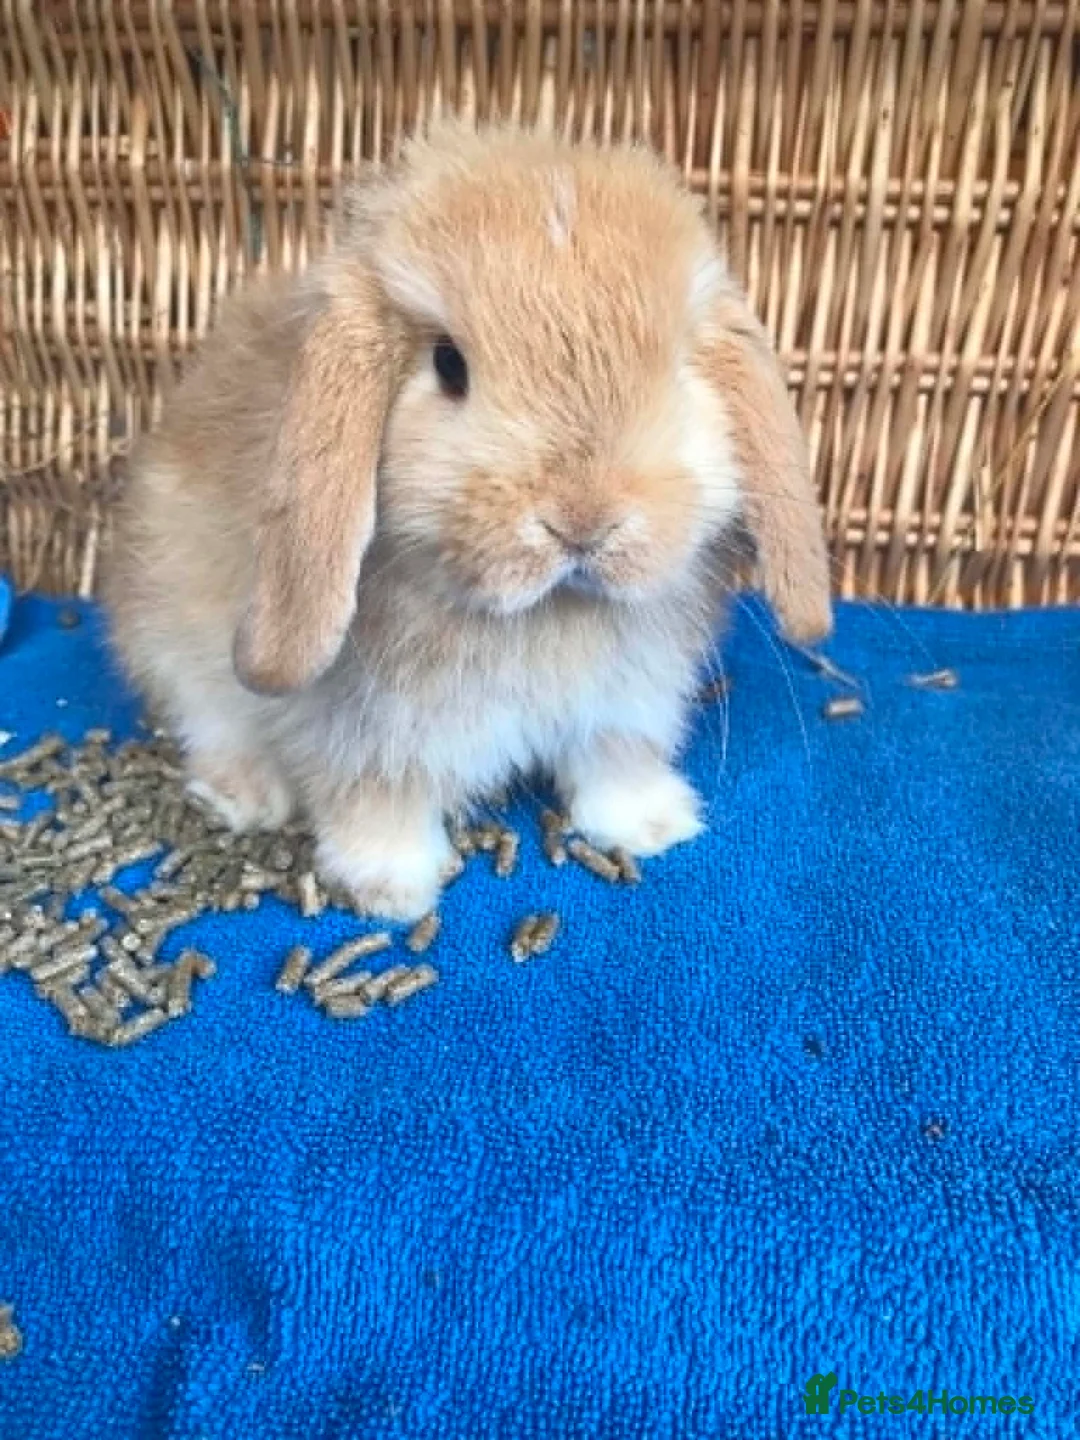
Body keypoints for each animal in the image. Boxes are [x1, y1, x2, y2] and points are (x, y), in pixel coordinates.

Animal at [105, 121, 832, 922]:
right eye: (450, 365)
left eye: (677, 369)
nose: (583, 520)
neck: (547, 614)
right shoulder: (363, 732)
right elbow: (375, 798)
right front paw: (390, 888)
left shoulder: (625, 706)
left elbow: (613, 763)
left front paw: (653, 825)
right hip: (170, 634)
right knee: (209, 718)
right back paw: (246, 796)